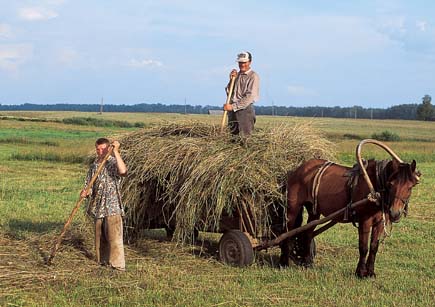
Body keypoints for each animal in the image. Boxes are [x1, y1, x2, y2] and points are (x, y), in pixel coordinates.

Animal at [282, 159, 420, 280]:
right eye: (391, 184)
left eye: (410, 187)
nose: (395, 213)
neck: (374, 187)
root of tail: (299, 169)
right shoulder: (365, 222)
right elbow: (363, 247)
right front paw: (360, 273)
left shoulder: (380, 223)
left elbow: (374, 247)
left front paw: (370, 272)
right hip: (292, 210)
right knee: (287, 233)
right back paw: (284, 263)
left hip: (314, 212)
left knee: (308, 233)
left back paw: (307, 263)